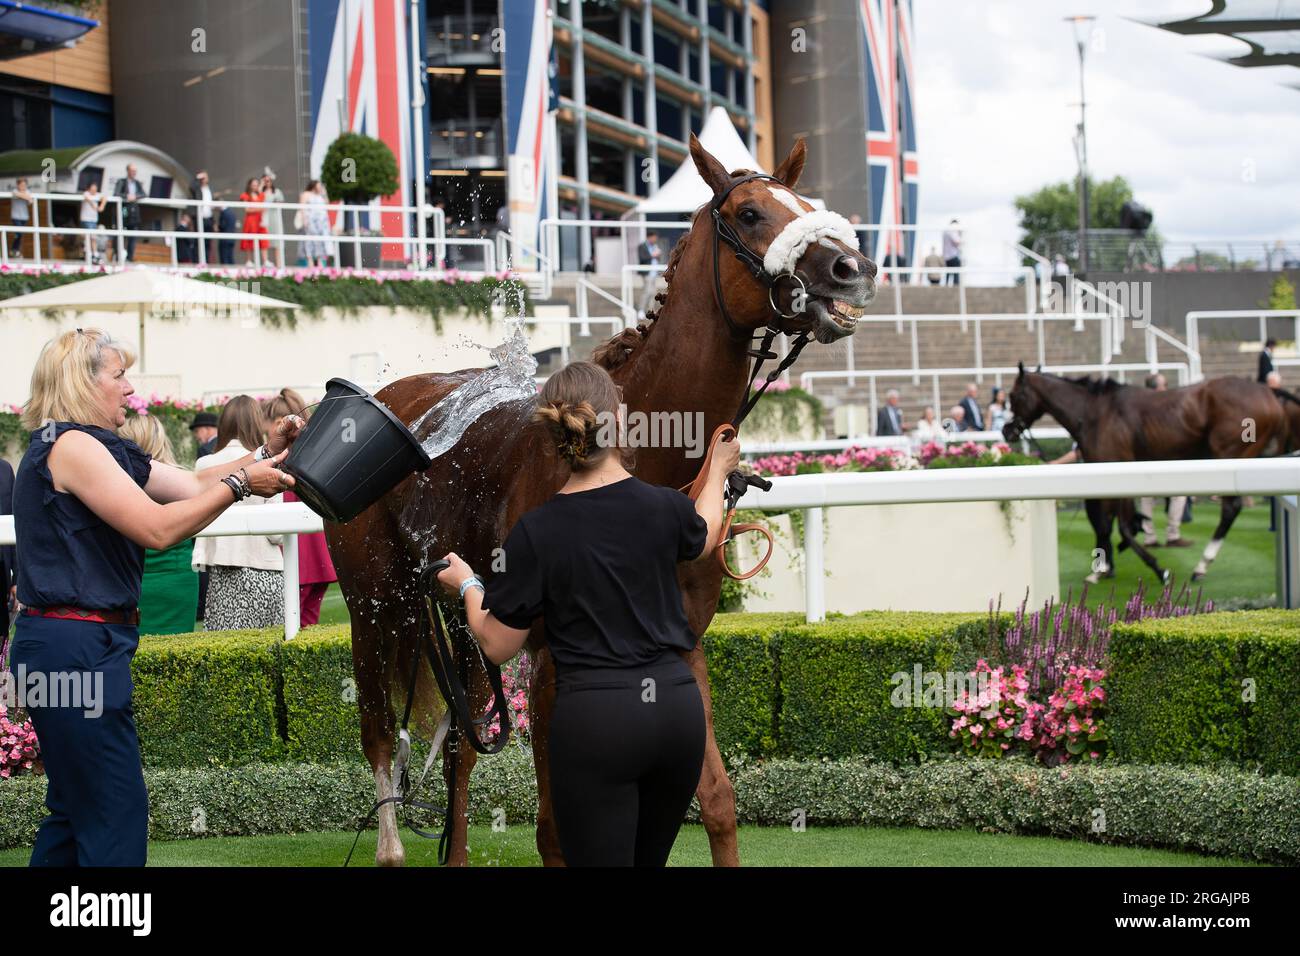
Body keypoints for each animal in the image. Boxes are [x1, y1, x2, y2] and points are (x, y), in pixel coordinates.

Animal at [323, 134, 873, 868]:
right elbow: (556, 828)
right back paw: (388, 844)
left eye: (809, 206)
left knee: (462, 749)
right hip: (375, 606)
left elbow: (716, 801)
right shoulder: (552, 658)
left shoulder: (679, 646)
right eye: (752, 213)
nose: (852, 268)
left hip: (464, 629)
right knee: (381, 734)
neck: (641, 464)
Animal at [1003, 366, 1289, 587]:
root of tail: (1267, 392)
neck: (1093, 413)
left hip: (1230, 454)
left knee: (1231, 508)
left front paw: (1156, 569)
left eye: (1013, 395)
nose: (1007, 430)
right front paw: (1106, 566)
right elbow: (1111, 524)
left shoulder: (1114, 471)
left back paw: (1201, 565)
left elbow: (1117, 526)